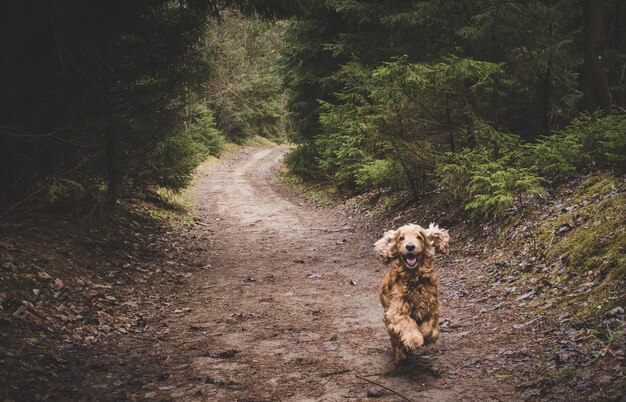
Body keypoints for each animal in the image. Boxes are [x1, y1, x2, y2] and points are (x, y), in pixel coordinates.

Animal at [372, 223, 446, 362]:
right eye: (401, 238)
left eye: (419, 237)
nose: (410, 246)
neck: (413, 277)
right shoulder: (397, 309)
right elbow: (406, 323)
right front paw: (414, 339)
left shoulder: (432, 306)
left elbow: (430, 327)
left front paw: (426, 337)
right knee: (395, 338)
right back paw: (400, 355)